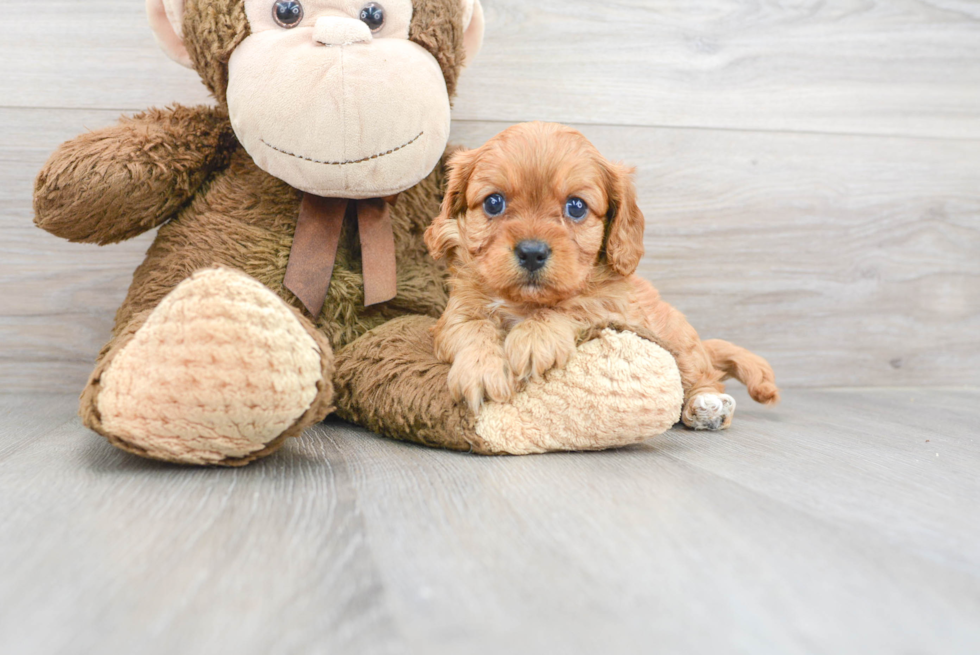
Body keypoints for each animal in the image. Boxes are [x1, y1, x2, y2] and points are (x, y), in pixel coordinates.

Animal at [424, 121, 776, 430]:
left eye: (576, 206)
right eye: (494, 202)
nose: (532, 252)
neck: (525, 303)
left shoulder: (611, 307)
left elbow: (573, 305)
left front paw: (535, 337)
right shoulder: (457, 311)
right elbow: (472, 327)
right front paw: (481, 368)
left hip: (679, 343)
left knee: (702, 377)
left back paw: (706, 407)